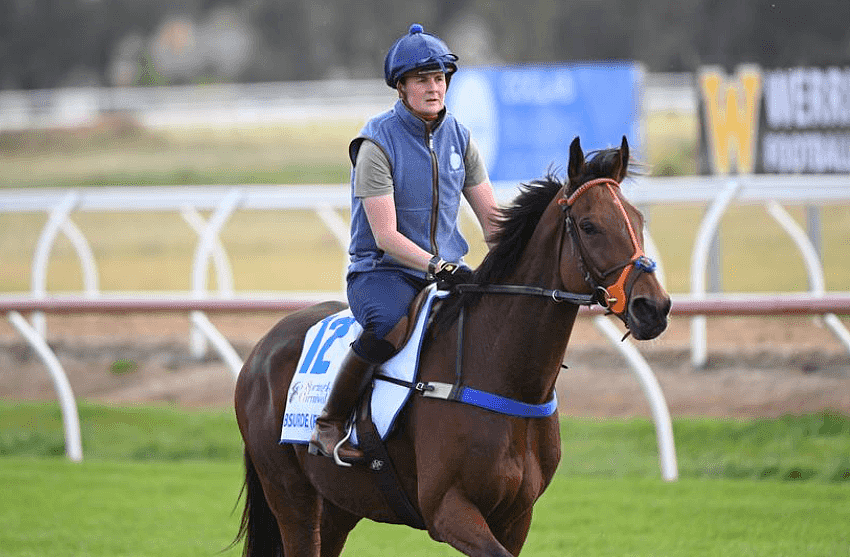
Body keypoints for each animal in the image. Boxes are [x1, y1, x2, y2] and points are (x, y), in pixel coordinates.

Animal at [232, 136, 668, 556]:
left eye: (638, 219)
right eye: (589, 225)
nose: (654, 307)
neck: (502, 375)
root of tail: (263, 348)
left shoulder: (516, 517)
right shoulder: (448, 510)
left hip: (339, 504)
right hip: (291, 494)